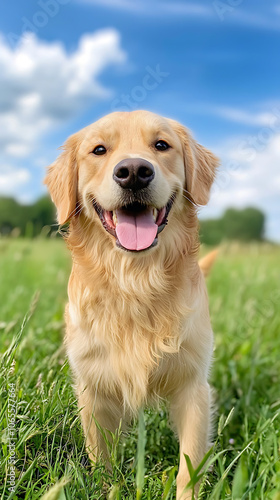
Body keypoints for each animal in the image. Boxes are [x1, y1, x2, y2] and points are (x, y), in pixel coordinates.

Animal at [44, 111, 219, 498]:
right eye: (99, 149)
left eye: (161, 145)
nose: (135, 171)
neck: (136, 281)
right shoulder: (93, 388)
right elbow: (101, 458)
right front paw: (106, 487)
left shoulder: (193, 385)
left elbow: (189, 463)